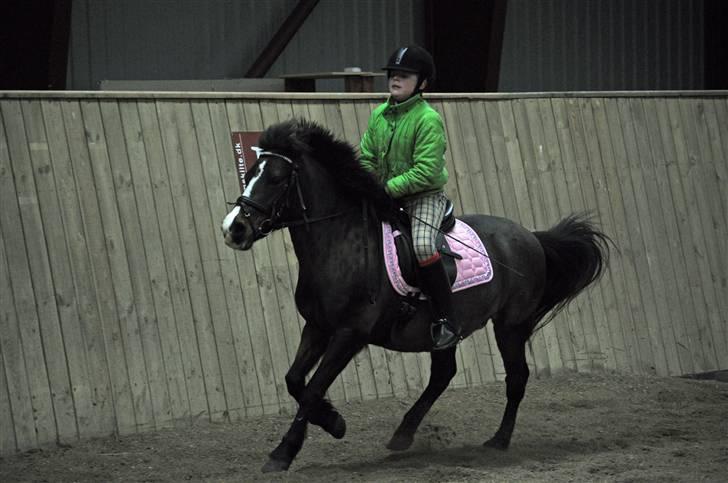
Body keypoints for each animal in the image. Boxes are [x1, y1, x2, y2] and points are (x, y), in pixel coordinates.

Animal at [220, 117, 608, 472]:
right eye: (249, 172)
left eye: (276, 178)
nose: (233, 229)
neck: (340, 245)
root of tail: (530, 236)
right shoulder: (317, 327)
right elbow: (294, 381)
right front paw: (331, 422)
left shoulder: (349, 334)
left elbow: (313, 388)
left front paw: (287, 450)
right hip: (449, 330)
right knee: (443, 374)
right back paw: (403, 434)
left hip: (511, 326)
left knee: (516, 378)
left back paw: (498, 441)